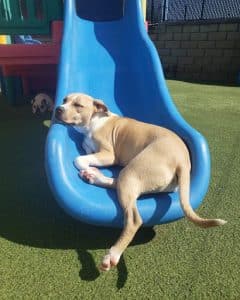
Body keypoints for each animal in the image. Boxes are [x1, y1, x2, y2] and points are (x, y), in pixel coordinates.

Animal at [54, 93, 227, 272]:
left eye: (78, 105)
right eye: (64, 100)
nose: (58, 109)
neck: (94, 121)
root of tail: (183, 161)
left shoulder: (109, 155)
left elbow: (78, 159)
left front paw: (87, 164)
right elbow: (85, 149)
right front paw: (90, 164)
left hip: (133, 171)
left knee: (133, 219)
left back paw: (113, 255)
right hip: (135, 177)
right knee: (119, 183)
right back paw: (94, 176)